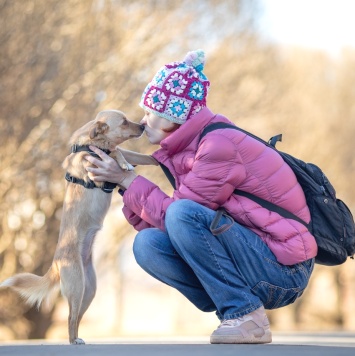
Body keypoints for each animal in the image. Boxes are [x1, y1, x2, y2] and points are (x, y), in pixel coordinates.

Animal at [0, 109, 156, 344]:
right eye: (124, 122)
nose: (143, 126)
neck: (92, 143)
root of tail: (56, 263)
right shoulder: (93, 167)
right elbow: (116, 152)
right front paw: (123, 164)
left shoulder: (118, 154)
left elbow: (128, 153)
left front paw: (156, 158)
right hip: (76, 287)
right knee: (70, 317)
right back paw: (73, 340)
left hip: (88, 290)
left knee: (77, 316)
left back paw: (78, 338)